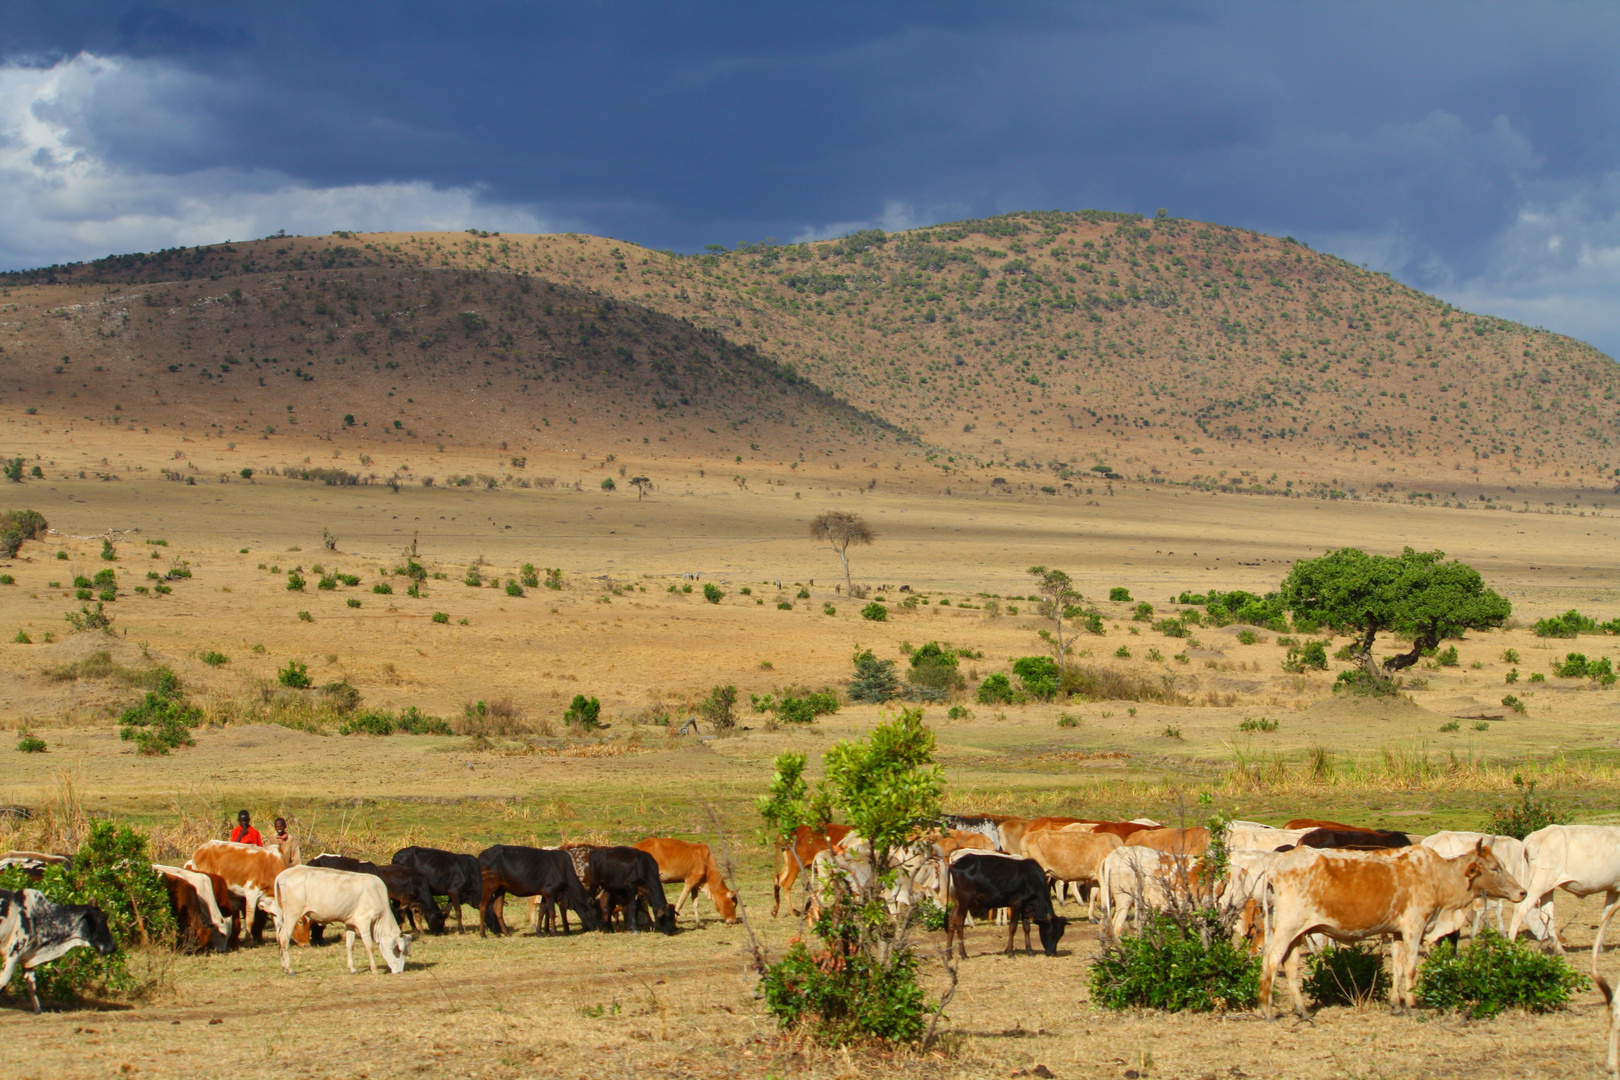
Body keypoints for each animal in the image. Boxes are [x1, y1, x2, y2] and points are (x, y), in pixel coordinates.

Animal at [0, 887, 117, 1016]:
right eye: (102, 918)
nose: (112, 946)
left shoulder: (27, 959)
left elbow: (33, 989)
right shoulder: (12, 955)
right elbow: (3, 984)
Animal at [272, 867, 411, 977]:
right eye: (399, 950)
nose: (399, 971)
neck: (376, 894)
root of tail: (285, 874)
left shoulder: (350, 923)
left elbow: (349, 945)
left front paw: (352, 968)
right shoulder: (364, 922)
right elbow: (369, 946)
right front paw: (374, 969)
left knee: (279, 937)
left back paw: (284, 967)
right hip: (292, 915)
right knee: (284, 938)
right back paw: (290, 969)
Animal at [1257, 841, 1522, 1016]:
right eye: (1495, 867)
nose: (1522, 892)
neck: (1438, 878)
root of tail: (1277, 865)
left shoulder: (1397, 932)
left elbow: (1398, 967)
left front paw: (1397, 1004)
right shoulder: (1415, 927)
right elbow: (1411, 968)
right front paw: (1412, 1005)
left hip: (1297, 932)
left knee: (1290, 964)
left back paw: (1302, 1010)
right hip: (1287, 926)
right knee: (1271, 958)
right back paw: (1267, 1009)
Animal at [1496, 822, 1620, 984]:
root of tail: (1537, 835)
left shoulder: (1613, 888)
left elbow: (1607, 916)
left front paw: (1599, 947)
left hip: (1543, 883)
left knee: (1546, 914)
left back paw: (1560, 949)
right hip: (1541, 880)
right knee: (1522, 909)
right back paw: (1510, 945)